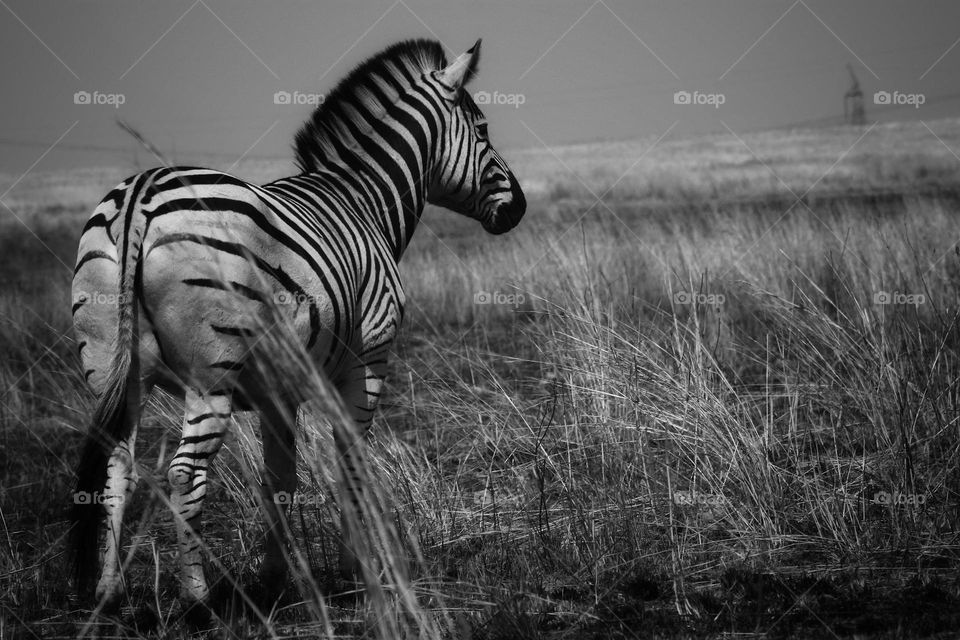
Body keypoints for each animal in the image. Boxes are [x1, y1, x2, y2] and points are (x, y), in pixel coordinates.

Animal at [70, 38, 525, 613]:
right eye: (483, 129)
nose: (519, 208)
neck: (363, 201)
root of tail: (140, 195)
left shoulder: (277, 388)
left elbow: (280, 479)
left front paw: (276, 579)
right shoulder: (368, 359)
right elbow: (350, 463)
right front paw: (358, 573)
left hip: (113, 370)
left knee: (115, 467)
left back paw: (108, 595)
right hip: (211, 376)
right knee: (184, 474)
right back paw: (198, 602)